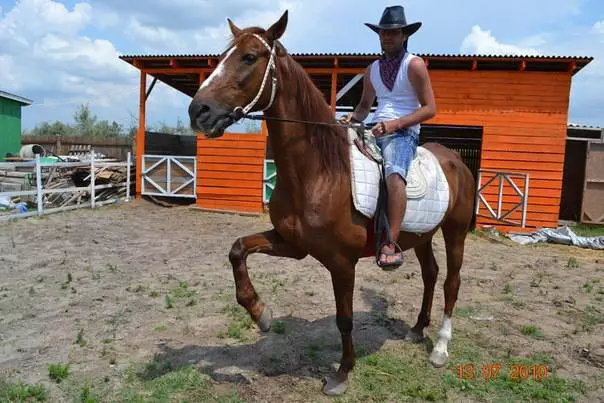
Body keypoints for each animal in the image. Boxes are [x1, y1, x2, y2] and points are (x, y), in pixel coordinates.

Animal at [189, 10, 476, 398]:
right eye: (222, 57)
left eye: (249, 57)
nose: (198, 111)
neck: (318, 171)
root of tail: (455, 159)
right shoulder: (293, 244)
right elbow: (238, 250)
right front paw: (261, 313)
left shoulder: (342, 262)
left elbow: (345, 318)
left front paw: (342, 373)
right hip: (422, 235)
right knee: (430, 274)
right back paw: (417, 329)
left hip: (455, 232)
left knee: (451, 282)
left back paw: (441, 348)